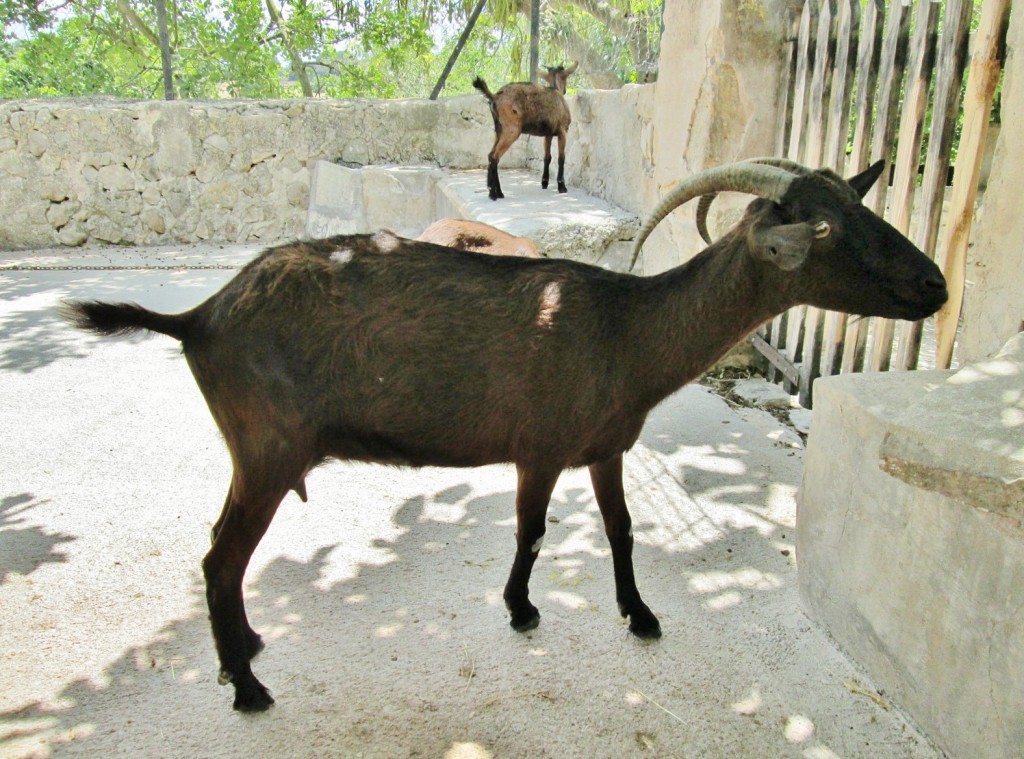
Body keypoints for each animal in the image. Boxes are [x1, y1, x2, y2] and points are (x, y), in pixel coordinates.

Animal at [471, 62, 577, 199]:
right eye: (566, 77)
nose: (565, 90)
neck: (556, 89)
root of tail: (494, 96)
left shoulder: (548, 134)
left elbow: (547, 157)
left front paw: (544, 182)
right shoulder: (562, 131)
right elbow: (561, 158)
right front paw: (562, 186)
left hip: (499, 130)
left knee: (491, 155)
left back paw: (495, 192)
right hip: (511, 130)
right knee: (494, 156)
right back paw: (495, 193)